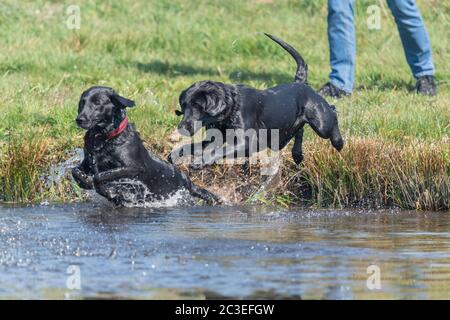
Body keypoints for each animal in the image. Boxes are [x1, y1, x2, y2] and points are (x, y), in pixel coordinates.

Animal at [170, 34, 344, 170]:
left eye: (198, 106)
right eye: (183, 107)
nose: (182, 127)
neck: (232, 106)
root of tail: (300, 83)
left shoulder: (247, 143)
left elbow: (218, 151)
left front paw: (200, 162)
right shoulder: (216, 137)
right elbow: (192, 146)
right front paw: (175, 154)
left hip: (321, 123)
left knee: (333, 111)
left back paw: (338, 142)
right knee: (299, 130)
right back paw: (297, 155)